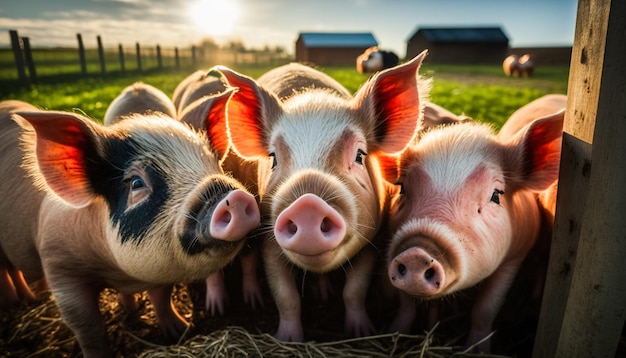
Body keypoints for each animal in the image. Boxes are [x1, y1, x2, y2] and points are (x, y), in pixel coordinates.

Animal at [0, 95, 258, 358]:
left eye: (214, 163)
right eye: (136, 183)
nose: (236, 197)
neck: (117, 271)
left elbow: (161, 298)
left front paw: (179, 331)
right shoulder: (59, 267)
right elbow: (88, 328)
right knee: (7, 271)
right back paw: (18, 301)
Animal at [173, 70, 264, 316]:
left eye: (213, 163)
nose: (234, 201)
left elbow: (250, 261)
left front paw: (254, 303)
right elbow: (212, 273)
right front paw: (217, 310)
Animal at [216, 50, 428, 342]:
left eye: (359, 155)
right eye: (273, 158)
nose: (307, 205)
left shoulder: (370, 241)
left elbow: (354, 291)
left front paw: (362, 332)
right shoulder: (269, 242)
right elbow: (286, 296)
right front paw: (289, 340)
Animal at [382, 107, 564, 352]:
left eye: (496, 195)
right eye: (402, 188)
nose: (416, 253)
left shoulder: (514, 257)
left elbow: (486, 308)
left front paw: (478, 350)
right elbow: (406, 304)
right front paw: (393, 334)